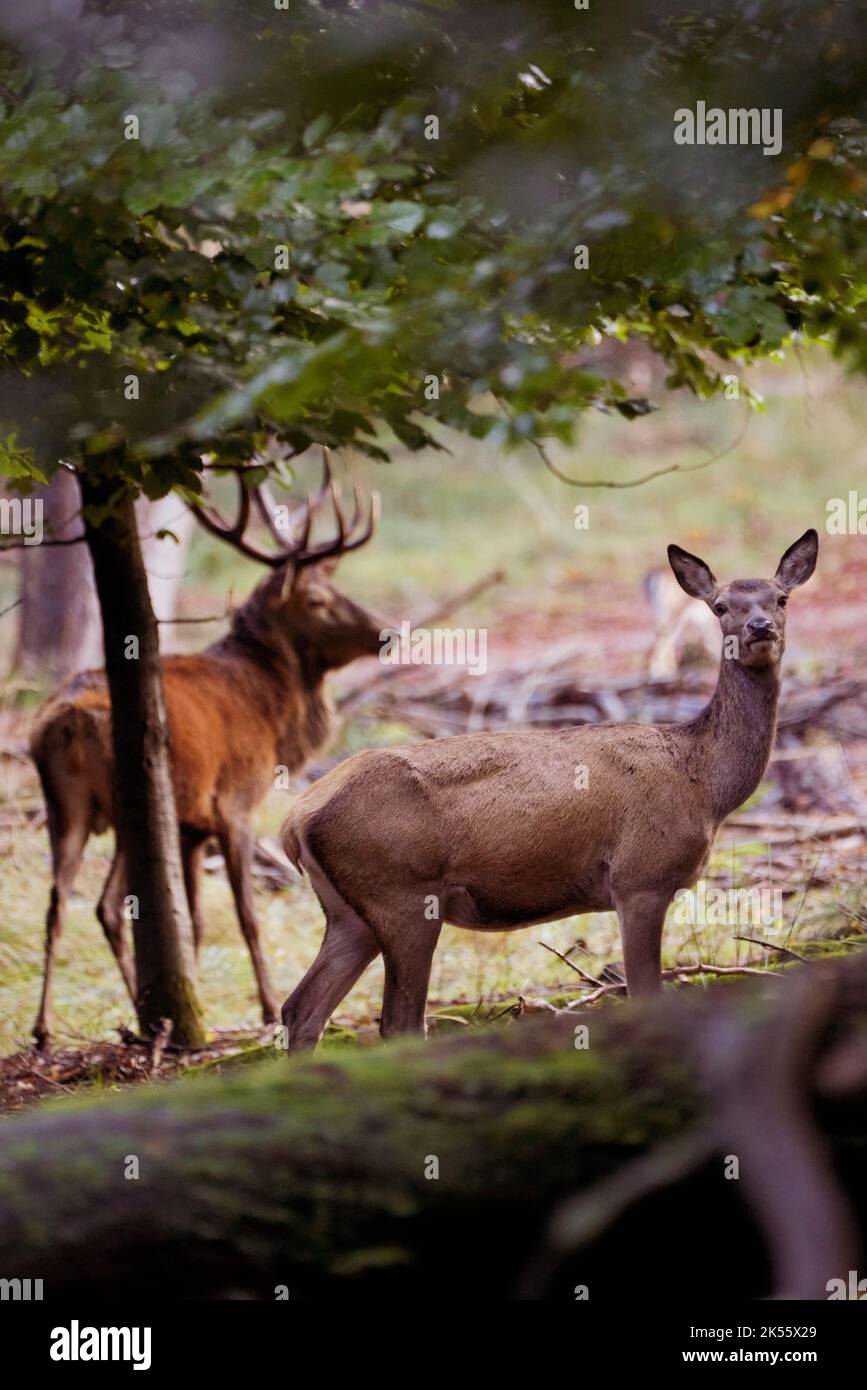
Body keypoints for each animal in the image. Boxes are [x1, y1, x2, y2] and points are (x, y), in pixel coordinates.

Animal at [29, 454, 381, 1048]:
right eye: (317, 600)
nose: (384, 632)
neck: (273, 715)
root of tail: (64, 723)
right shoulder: (234, 803)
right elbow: (246, 914)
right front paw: (264, 1006)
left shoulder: (190, 826)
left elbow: (190, 919)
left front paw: (201, 999)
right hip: (128, 801)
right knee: (105, 905)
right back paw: (133, 1015)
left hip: (64, 806)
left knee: (59, 904)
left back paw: (46, 1027)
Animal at [278, 530, 818, 1051]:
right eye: (721, 606)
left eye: (781, 598)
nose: (760, 628)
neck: (704, 782)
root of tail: (294, 821)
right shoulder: (640, 876)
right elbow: (645, 993)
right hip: (403, 894)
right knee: (398, 1021)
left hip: (350, 913)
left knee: (302, 1009)